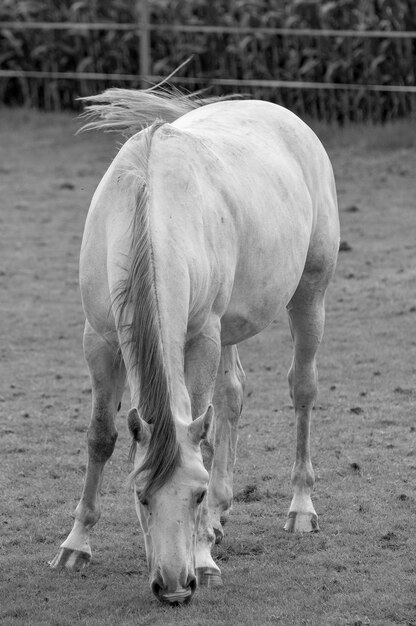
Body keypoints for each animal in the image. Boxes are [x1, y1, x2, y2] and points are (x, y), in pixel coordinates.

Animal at [50, 85, 340, 604]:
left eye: (196, 494)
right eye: (141, 496)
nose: (173, 588)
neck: (151, 206)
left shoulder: (200, 335)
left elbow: (200, 443)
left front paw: (204, 557)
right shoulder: (99, 340)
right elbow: (101, 437)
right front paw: (75, 545)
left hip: (309, 295)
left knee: (302, 390)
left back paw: (300, 507)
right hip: (228, 329)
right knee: (232, 397)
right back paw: (223, 518)